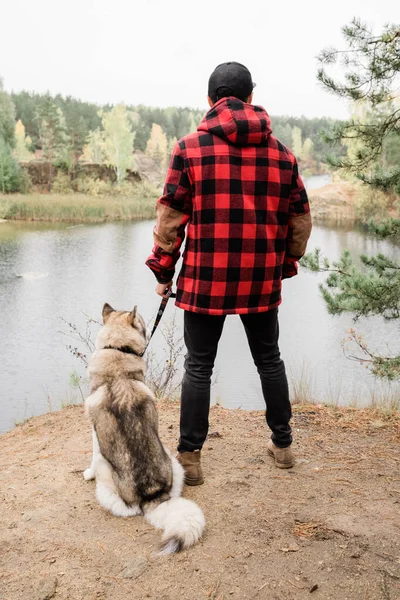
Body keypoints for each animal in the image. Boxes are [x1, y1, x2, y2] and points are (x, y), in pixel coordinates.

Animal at [83, 302, 205, 556]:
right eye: (142, 322)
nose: (149, 327)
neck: (118, 353)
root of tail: (153, 495)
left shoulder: (93, 433)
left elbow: (91, 454)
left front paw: (86, 473)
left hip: (105, 471)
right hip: (174, 460)